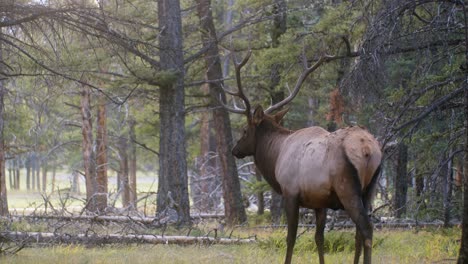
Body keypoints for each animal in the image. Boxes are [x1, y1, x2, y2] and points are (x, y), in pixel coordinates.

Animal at [225, 50, 382, 264]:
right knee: (359, 232)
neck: (276, 157)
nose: (235, 150)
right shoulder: (319, 202)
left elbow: (290, 237)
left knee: (366, 228)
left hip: (347, 189)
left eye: (244, 131)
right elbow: (319, 238)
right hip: (370, 190)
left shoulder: (290, 192)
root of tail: (368, 149)